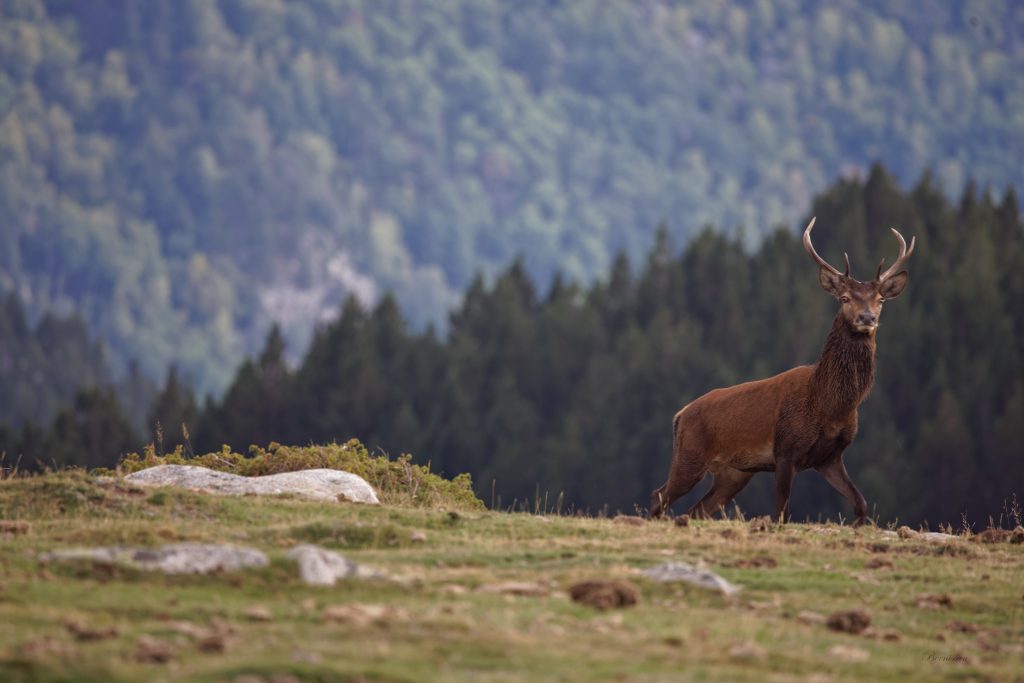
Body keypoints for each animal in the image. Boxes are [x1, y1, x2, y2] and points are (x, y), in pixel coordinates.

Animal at [649, 217, 914, 526]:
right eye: (845, 298)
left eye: (880, 300)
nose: (867, 318)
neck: (829, 406)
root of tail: (680, 415)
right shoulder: (785, 449)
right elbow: (782, 512)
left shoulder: (830, 457)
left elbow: (860, 502)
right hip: (690, 454)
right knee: (659, 494)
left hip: (733, 472)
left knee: (697, 509)